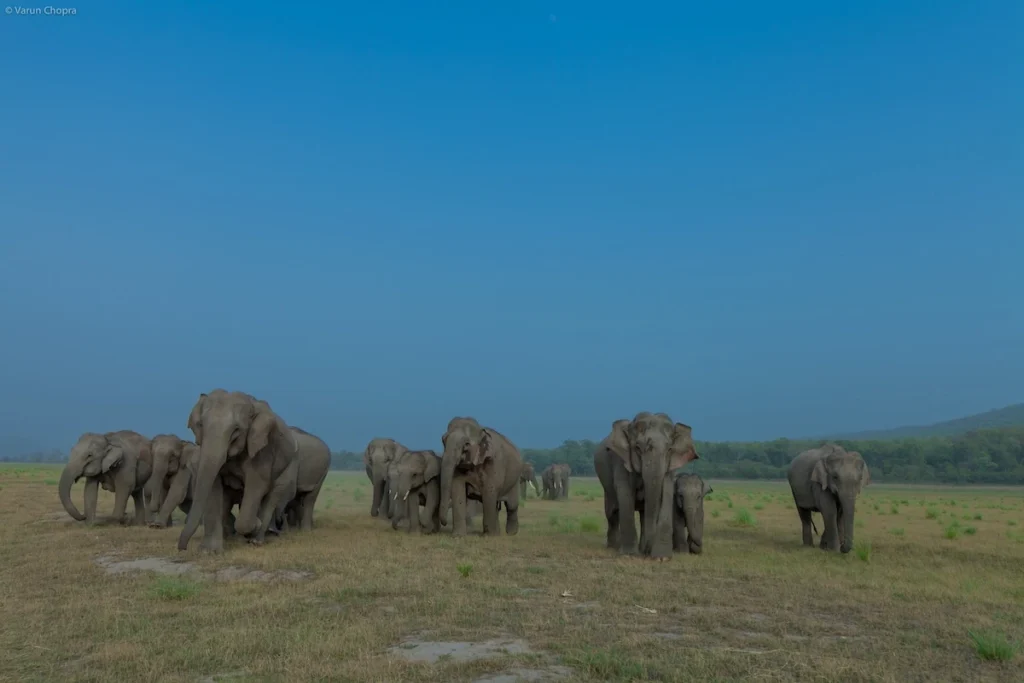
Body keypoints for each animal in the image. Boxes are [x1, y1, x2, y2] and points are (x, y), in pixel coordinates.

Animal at [178, 389, 304, 553]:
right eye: (200, 425)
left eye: (236, 430)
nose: (182, 548)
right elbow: (213, 486)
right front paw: (208, 552)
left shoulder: (262, 448)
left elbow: (257, 485)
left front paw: (256, 524)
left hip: (285, 467)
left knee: (271, 496)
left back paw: (257, 539)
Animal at [593, 413, 700, 560]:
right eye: (637, 448)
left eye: (669, 449)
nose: (649, 552)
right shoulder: (621, 461)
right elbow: (625, 495)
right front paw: (629, 554)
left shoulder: (670, 467)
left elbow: (666, 492)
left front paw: (662, 558)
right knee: (612, 512)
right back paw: (614, 547)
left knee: (642, 515)